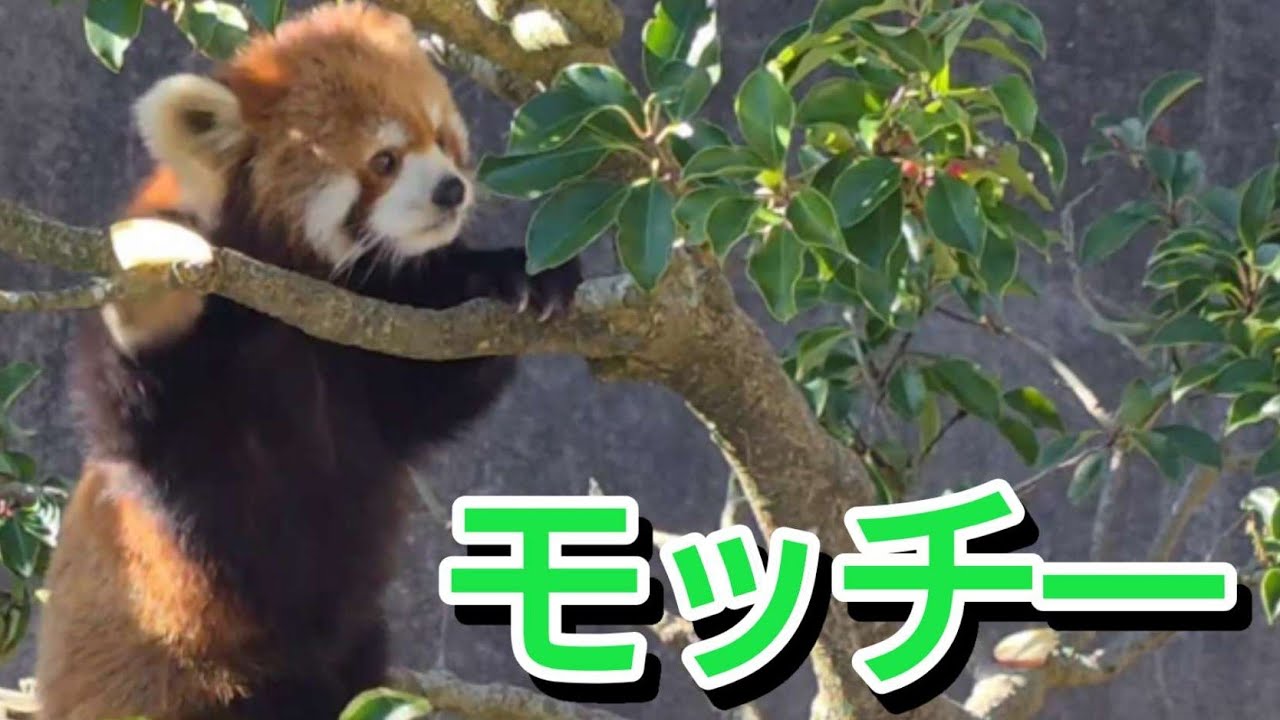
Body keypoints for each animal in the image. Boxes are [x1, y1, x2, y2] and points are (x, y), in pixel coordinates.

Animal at [34, 3, 582, 719]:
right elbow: (130, 405)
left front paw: (518, 275)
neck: (301, 302)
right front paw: (154, 282)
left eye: (441, 136)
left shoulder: (370, 352)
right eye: (383, 160)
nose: (450, 190)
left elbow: (432, 391)